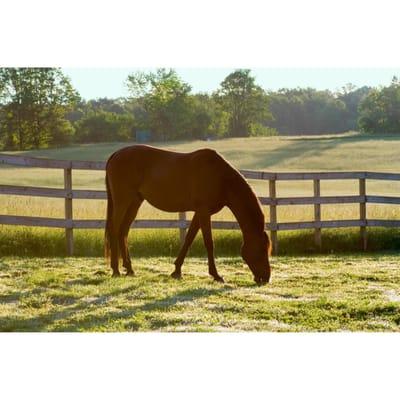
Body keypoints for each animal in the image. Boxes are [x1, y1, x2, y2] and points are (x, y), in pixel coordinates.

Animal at [104, 145, 272, 282]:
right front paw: (216, 275)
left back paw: (129, 269)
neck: (220, 178)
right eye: (262, 250)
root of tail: (115, 154)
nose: (266, 278)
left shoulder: (199, 213)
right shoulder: (204, 212)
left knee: (123, 231)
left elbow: (189, 239)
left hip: (135, 202)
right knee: (114, 229)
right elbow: (209, 243)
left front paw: (177, 271)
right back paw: (115, 270)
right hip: (122, 202)